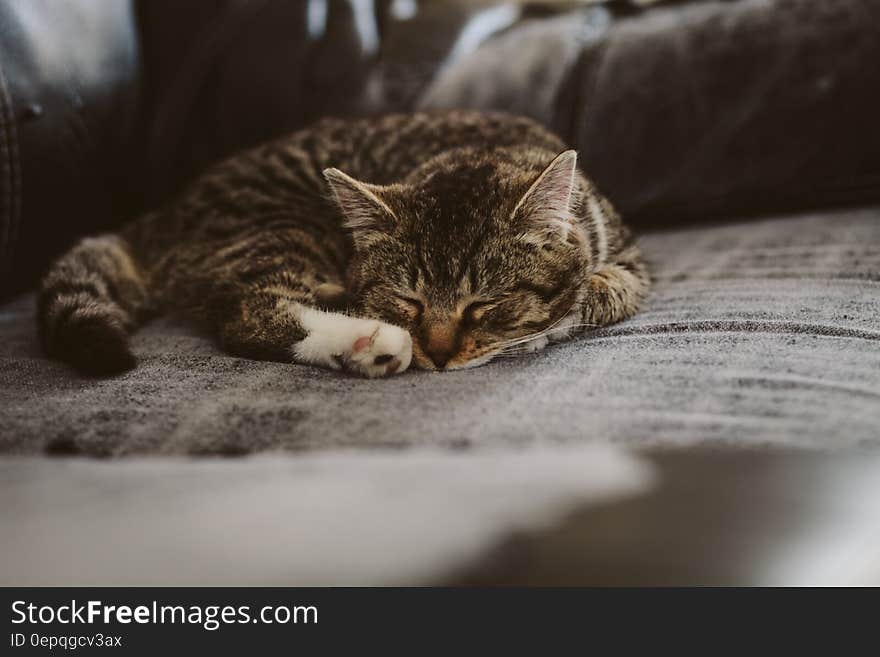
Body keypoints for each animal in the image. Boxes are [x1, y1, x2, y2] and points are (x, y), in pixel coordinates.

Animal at [39, 110, 648, 376]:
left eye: (484, 304)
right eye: (408, 301)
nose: (438, 354)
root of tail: (160, 215)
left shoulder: (628, 259)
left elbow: (604, 289)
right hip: (278, 225)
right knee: (246, 311)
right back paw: (366, 339)